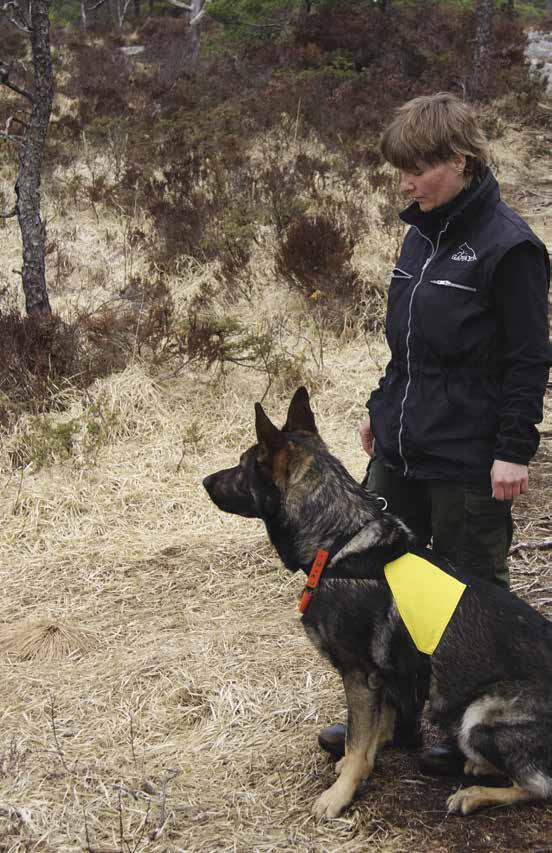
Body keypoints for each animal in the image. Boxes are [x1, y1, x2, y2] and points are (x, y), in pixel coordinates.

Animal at [203, 388, 552, 820]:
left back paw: (474, 793)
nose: (204, 481)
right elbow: (372, 732)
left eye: (240, 465)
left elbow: (357, 740)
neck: (337, 541)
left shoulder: (358, 675)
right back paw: (474, 766)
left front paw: (340, 793)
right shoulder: (381, 679)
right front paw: (366, 761)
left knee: (539, 785)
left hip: (479, 716)